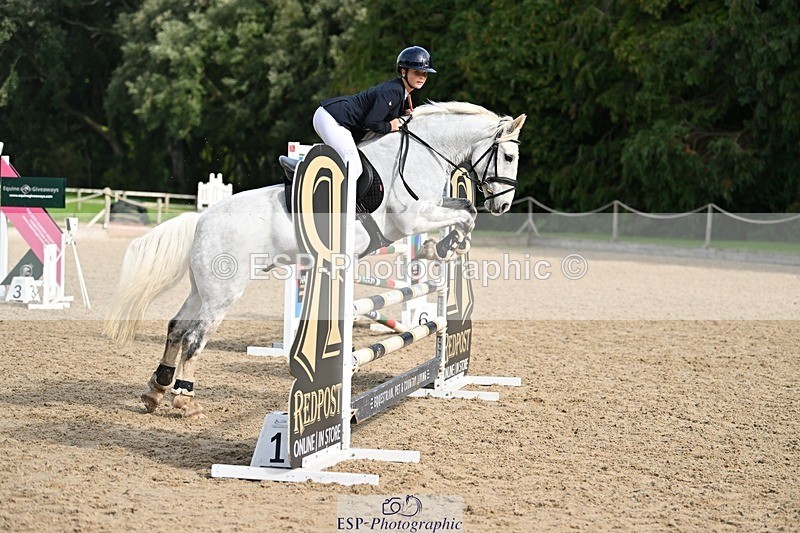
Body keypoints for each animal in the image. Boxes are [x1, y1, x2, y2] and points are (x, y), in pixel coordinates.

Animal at [103, 101, 526, 419]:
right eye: (507, 155)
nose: (504, 206)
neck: (422, 152)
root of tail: (202, 219)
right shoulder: (413, 219)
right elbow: (465, 214)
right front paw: (440, 247)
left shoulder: (432, 210)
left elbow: (464, 208)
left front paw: (443, 247)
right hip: (224, 293)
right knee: (194, 337)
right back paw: (185, 400)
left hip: (202, 288)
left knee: (176, 327)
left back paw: (156, 391)